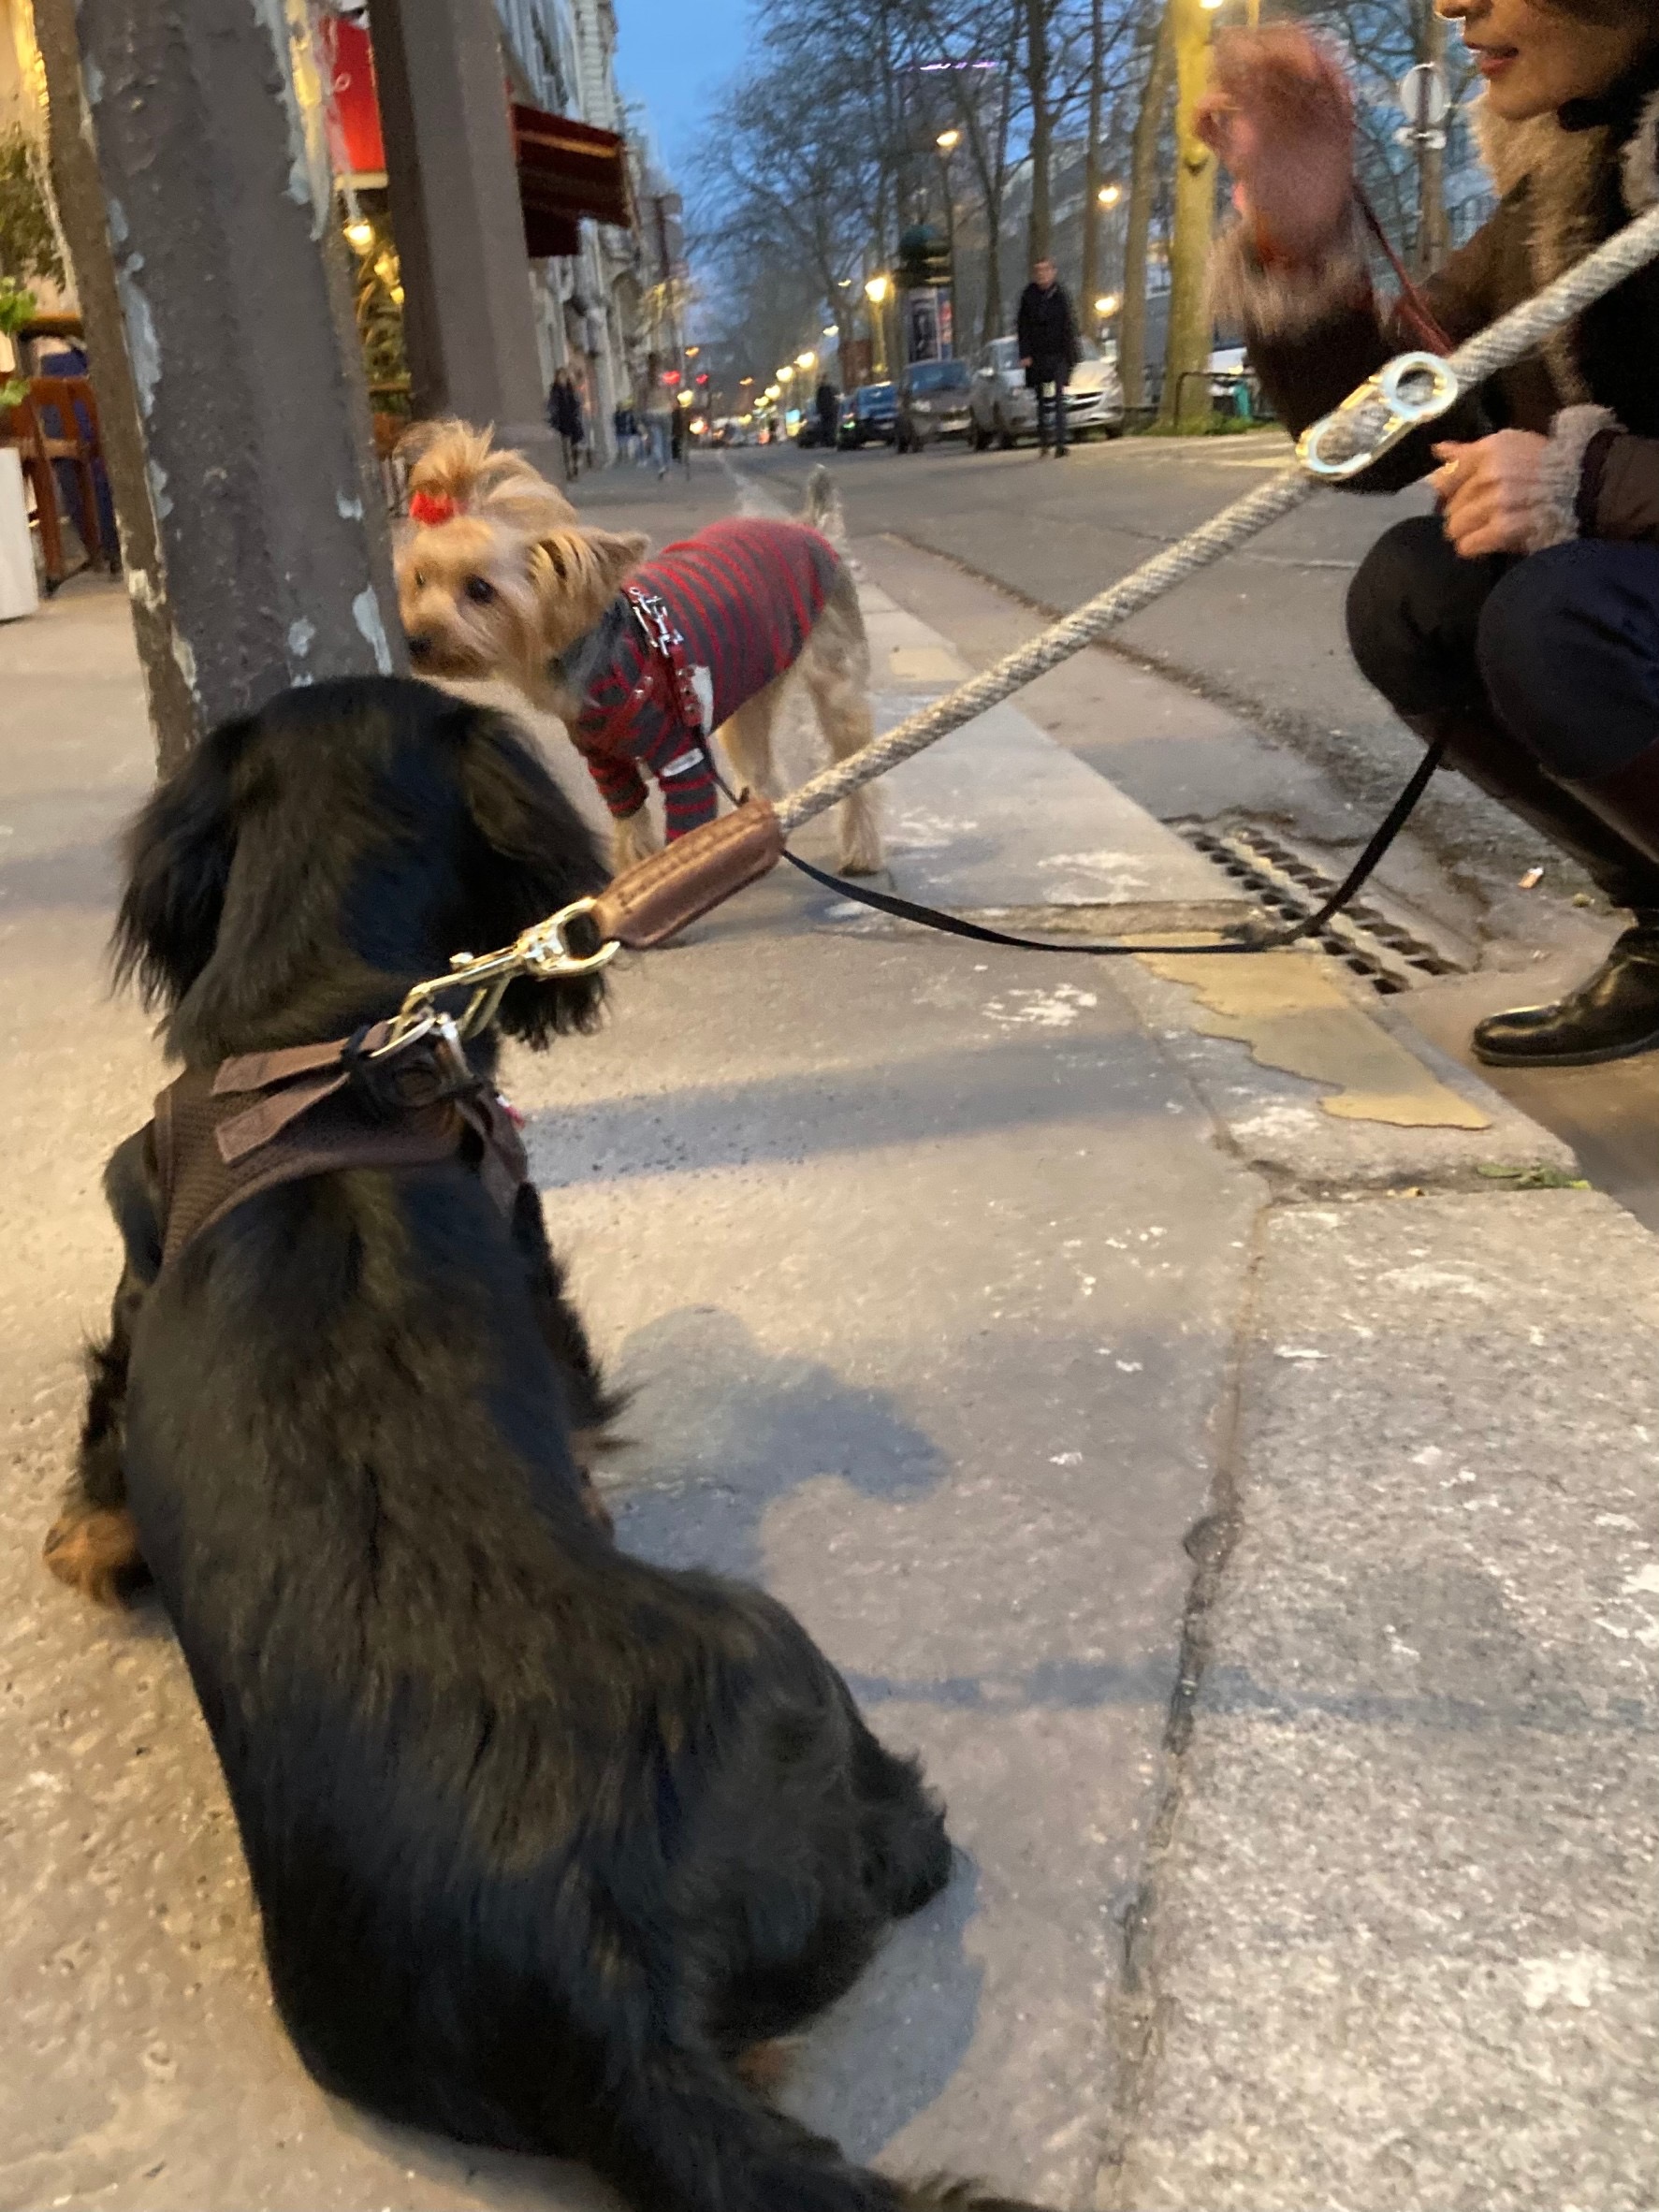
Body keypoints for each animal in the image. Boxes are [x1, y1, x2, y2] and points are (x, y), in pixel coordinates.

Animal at [393, 422, 884, 871]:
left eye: (480, 590)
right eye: (419, 579)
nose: (413, 641)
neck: (598, 660)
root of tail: (813, 528)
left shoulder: (682, 759)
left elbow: (685, 833)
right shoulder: (609, 767)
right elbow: (631, 826)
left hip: (834, 680)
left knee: (855, 767)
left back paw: (860, 851)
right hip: (750, 690)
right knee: (760, 762)